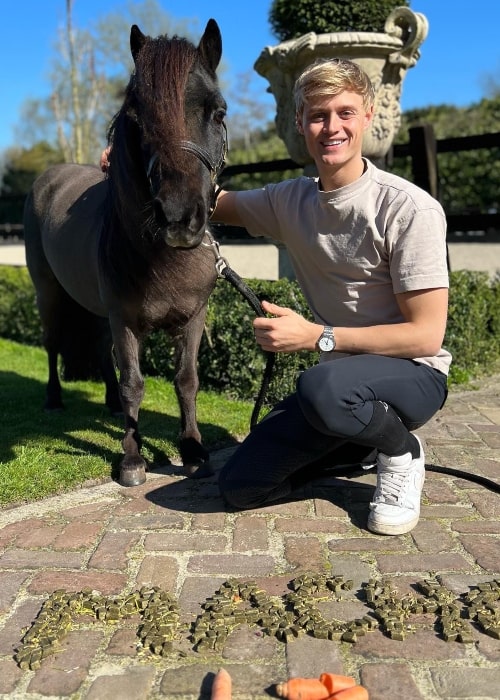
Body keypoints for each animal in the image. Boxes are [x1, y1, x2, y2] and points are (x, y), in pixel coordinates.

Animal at [23, 20, 228, 488]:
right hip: (49, 295)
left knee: (99, 349)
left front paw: (193, 449)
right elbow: (134, 381)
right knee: (52, 343)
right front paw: (132, 460)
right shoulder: (125, 321)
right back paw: (53, 399)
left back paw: (112, 404)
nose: (178, 217)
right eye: (137, 119)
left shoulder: (194, 317)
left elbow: (186, 379)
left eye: (218, 112)